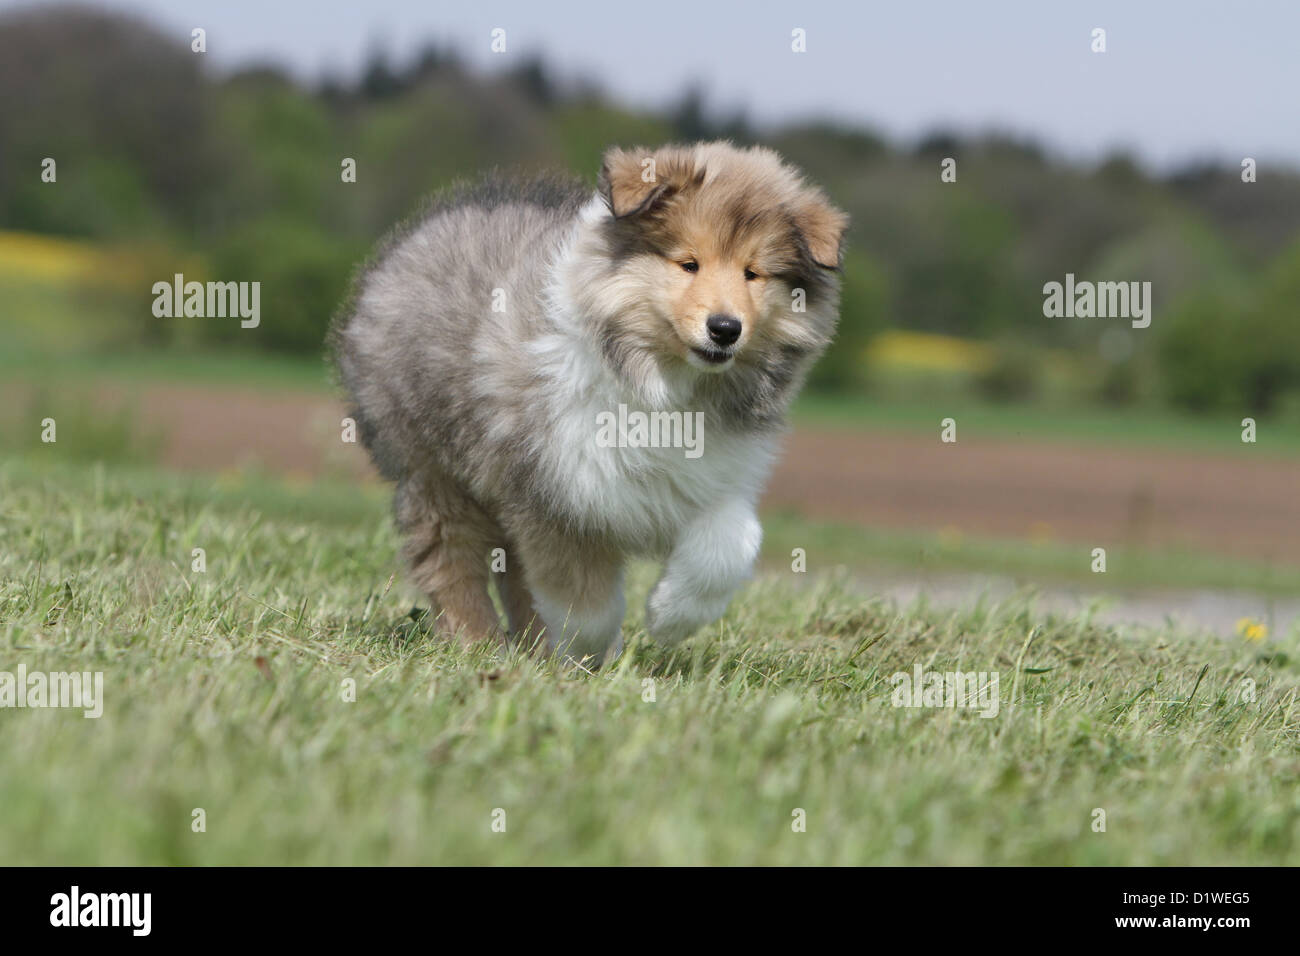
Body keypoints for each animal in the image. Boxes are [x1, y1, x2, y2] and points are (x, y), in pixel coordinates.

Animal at [330, 143, 847, 665]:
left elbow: (732, 543)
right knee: (448, 556)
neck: (666, 383)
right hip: (434, 468)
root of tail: (418, 233)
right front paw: (587, 655)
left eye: (752, 273)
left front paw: (669, 617)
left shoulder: (707, 479)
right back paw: (480, 644)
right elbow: (585, 603)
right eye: (688, 263)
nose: (725, 329)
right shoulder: (561, 490)